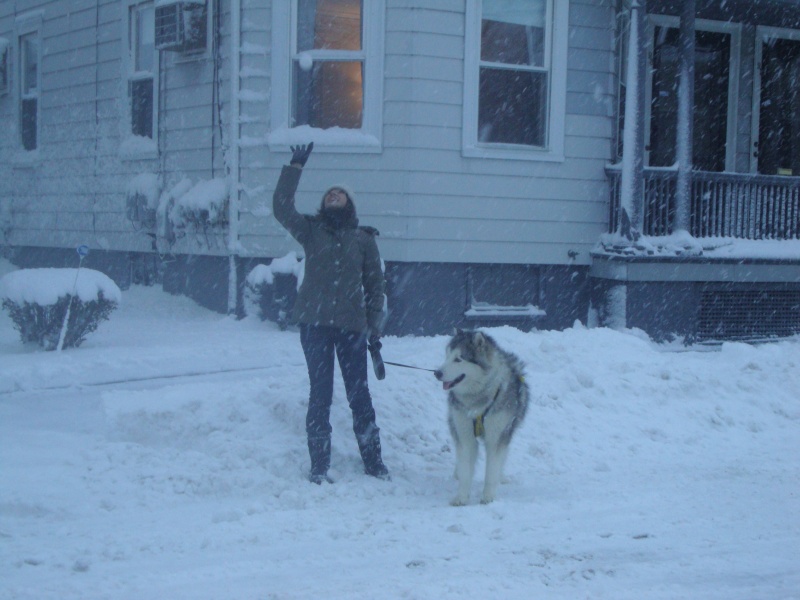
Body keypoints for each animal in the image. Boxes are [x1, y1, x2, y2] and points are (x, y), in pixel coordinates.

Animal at [434, 330, 528, 504]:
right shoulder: (464, 433)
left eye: (458, 359)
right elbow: (465, 466)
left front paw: (488, 496)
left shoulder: (497, 435)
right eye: (447, 356)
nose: (437, 373)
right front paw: (461, 497)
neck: (477, 402)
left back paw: (501, 477)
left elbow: (492, 468)